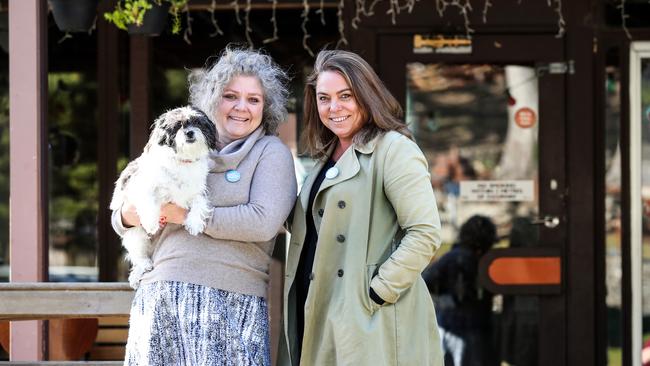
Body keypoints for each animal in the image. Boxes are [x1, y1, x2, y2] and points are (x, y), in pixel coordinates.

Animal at [109, 106, 215, 288]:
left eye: (197, 123)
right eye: (178, 126)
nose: (189, 132)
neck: (182, 161)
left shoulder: (197, 191)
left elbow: (199, 203)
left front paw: (194, 223)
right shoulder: (142, 187)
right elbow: (148, 203)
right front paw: (151, 223)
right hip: (135, 235)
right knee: (139, 254)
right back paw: (142, 267)